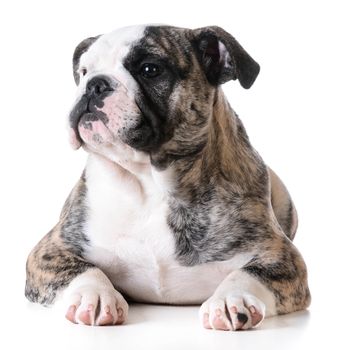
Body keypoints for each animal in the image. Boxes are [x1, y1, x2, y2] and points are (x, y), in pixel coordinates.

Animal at [25, 24, 312, 330]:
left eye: (150, 69)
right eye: (84, 71)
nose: (95, 84)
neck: (148, 181)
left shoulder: (281, 257)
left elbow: (248, 273)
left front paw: (230, 299)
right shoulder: (51, 250)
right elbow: (83, 269)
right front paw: (94, 295)